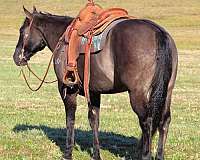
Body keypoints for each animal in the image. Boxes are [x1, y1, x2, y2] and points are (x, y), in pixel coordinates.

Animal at [12, 6, 178, 160]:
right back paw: (160, 155)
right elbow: (94, 121)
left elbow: (70, 120)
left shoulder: (67, 89)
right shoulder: (93, 91)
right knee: (164, 121)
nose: (16, 57)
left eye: (21, 31)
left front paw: (68, 153)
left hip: (137, 94)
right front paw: (96, 154)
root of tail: (158, 33)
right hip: (167, 92)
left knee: (146, 122)